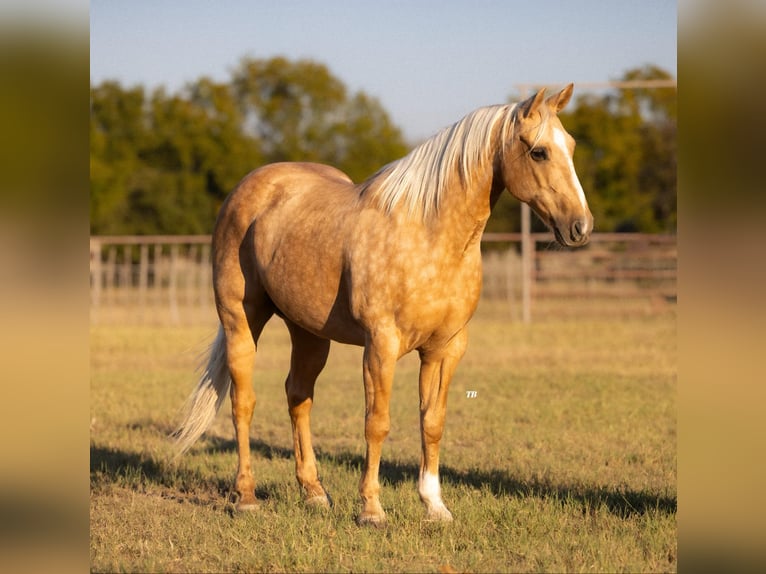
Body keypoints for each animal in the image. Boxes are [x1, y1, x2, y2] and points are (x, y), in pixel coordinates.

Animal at [173, 84, 593, 525]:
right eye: (539, 152)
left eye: (570, 145)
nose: (581, 227)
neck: (428, 235)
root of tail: (249, 188)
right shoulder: (381, 345)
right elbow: (377, 423)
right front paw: (371, 510)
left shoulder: (445, 349)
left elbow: (432, 422)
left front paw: (434, 505)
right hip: (241, 319)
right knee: (243, 401)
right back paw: (247, 496)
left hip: (308, 332)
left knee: (298, 395)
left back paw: (314, 493)